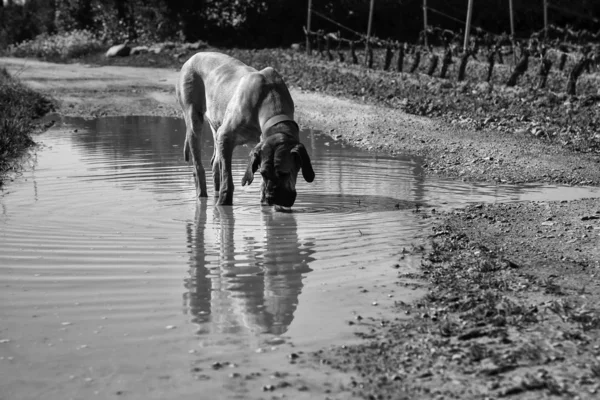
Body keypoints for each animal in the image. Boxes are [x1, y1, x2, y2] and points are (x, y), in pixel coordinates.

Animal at [175, 51, 314, 206]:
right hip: (194, 120)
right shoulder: (225, 137)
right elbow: (227, 179)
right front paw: (223, 203)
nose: (272, 198)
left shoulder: (258, 144)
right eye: (263, 173)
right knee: (199, 168)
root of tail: (193, 56)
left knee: (215, 164)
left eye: (285, 173)